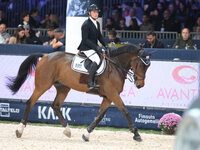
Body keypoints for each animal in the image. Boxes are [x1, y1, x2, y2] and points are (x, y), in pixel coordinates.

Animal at [6, 43, 150, 142]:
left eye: (147, 67)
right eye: (141, 65)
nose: (140, 85)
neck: (115, 66)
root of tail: (46, 56)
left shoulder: (109, 97)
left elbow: (100, 116)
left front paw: (86, 134)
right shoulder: (113, 94)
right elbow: (125, 111)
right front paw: (136, 134)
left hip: (63, 88)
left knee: (55, 105)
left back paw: (67, 130)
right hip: (43, 85)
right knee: (30, 102)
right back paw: (19, 130)